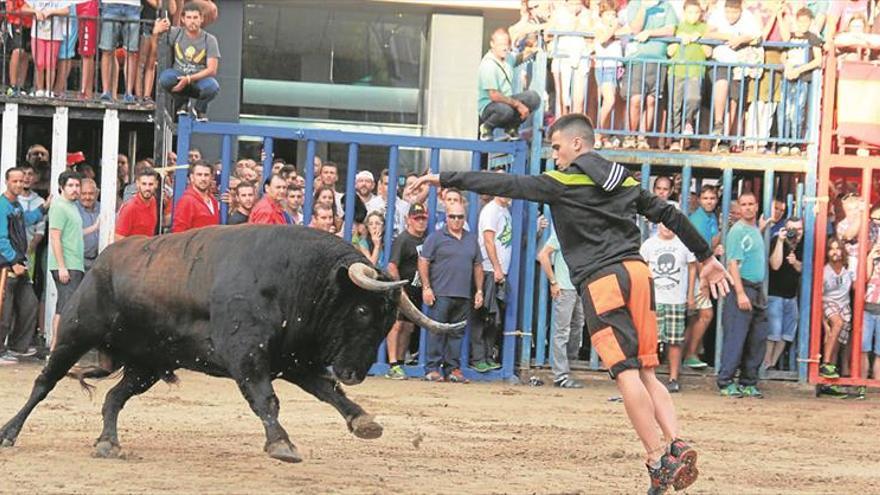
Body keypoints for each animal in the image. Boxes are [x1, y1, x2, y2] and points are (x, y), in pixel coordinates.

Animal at [0, 227, 464, 464]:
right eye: (363, 311)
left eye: (389, 320)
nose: (356, 372)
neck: (298, 280)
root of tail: (103, 262)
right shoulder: (247, 356)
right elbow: (266, 400)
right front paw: (282, 444)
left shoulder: (296, 361)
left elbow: (329, 393)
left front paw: (364, 421)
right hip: (74, 334)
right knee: (44, 384)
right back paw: (10, 432)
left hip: (148, 365)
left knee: (114, 396)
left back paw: (108, 443)